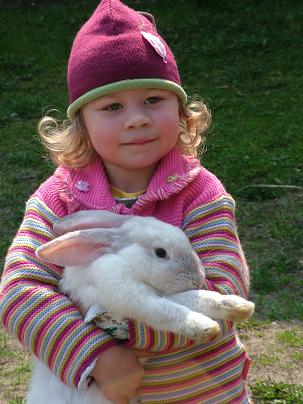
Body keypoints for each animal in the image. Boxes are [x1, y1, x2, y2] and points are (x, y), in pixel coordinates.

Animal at [26, 211, 255, 404]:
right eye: (161, 252)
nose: (198, 279)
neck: (127, 263)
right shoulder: (130, 296)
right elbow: (166, 311)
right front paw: (204, 326)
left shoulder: (166, 294)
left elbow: (195, 299)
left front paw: (239, 306)